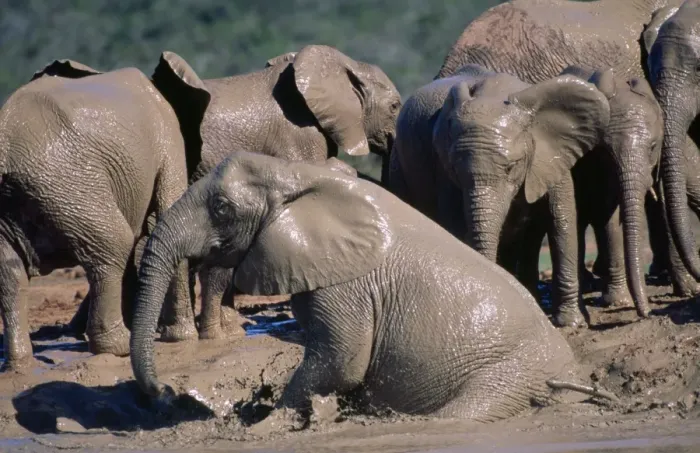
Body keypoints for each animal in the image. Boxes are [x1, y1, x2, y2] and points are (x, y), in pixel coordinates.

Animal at [0, 60, 198, 368]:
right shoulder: (168, 135)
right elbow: (169, 210)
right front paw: (183, 338)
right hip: (69, 185)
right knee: (114, 242)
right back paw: (118, 346)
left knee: (9, 274)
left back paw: (20, 365)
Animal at [129, 151, 615, 420]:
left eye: (222, 208)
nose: (164, 394)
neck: (299, 174)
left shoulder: (348, 287)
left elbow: (342, 360)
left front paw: (267, 422)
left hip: (506, 377)